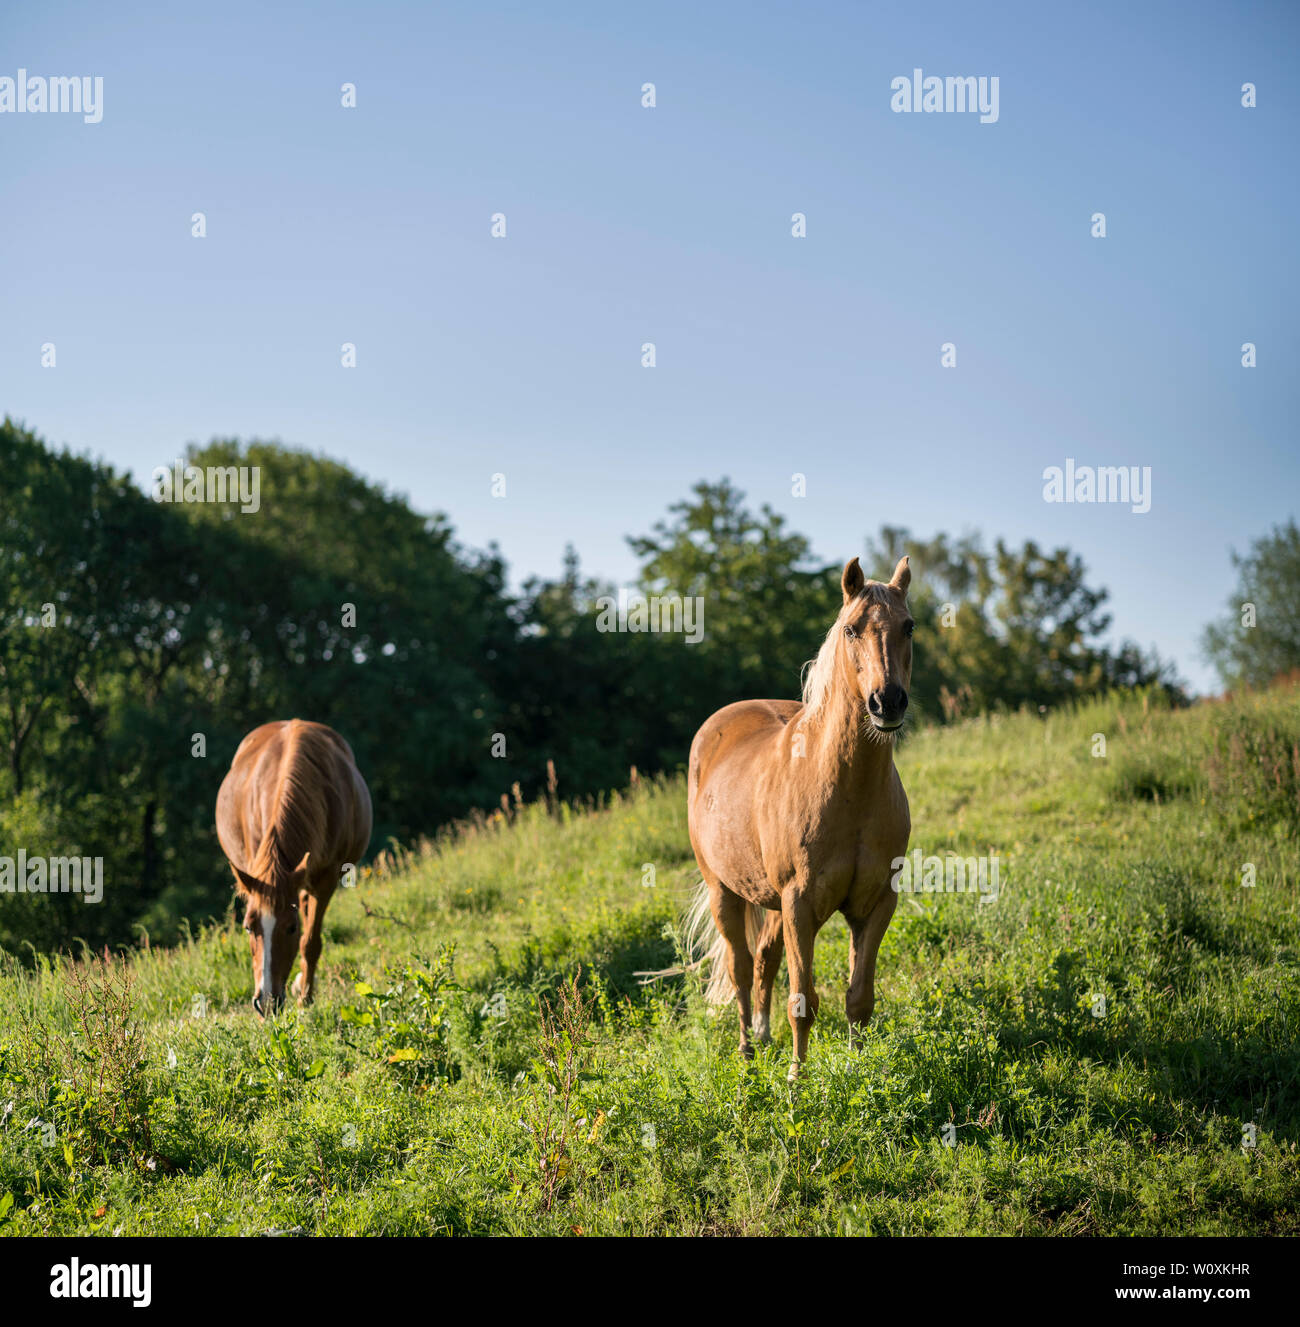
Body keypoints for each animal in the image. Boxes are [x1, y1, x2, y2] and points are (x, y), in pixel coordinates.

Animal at [217, 716, 371, 1013]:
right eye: (248, 927)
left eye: (290, 928)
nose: (266, 1002)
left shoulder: (325, 879)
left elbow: (310, 942)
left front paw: (305, 998)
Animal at [684, 554, 907, 1072]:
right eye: (851, 629)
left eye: (909, 626)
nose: (887, 702)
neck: (848, 790)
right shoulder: (800, 904)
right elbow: (802, 1001)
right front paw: (796, 1080)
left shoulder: (876, 904)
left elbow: (859, 998)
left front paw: (860, 1072)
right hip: (724, 891)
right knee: (742, 967)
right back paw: (747, 1050)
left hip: (770, 902)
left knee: (765, 959)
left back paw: (763, 1037)